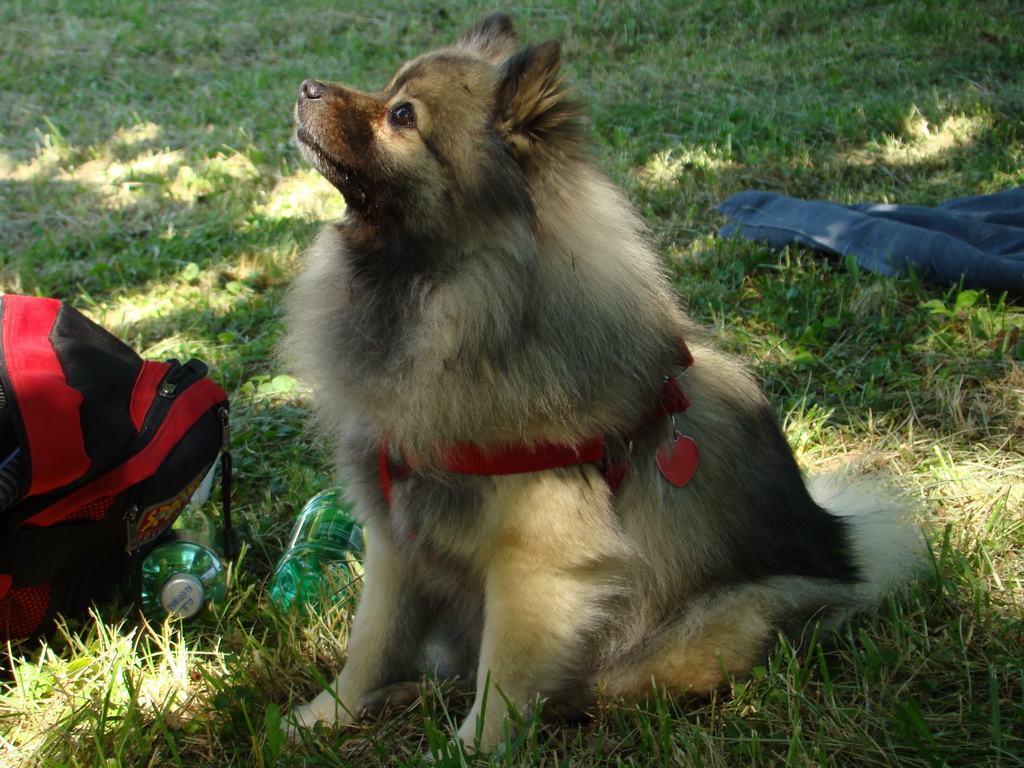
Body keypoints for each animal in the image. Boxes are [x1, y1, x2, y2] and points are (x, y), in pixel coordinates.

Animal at [282, 12, 929, 753]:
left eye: (401, 115)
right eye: (388, 86)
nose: (305, 87)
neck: (429, 289)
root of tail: (846, 548)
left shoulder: (536, 567)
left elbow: (501, 682)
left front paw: (466, 753)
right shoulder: (395, 542)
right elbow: (371, 648)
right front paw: (323, 718)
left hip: (725, 619)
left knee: (597, 689)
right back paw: (405, 696)